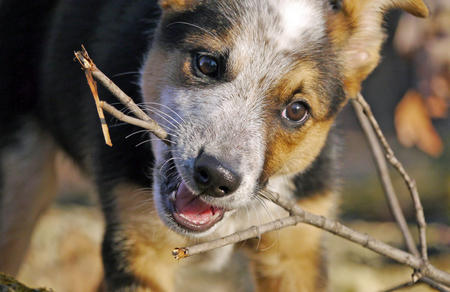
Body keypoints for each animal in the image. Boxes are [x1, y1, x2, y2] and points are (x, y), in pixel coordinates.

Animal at [0, 0, 428, 290]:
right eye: (207, 64)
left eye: (296, 110)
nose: (216, 178)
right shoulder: (139, 245)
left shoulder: (295, 251)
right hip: (22, 176)